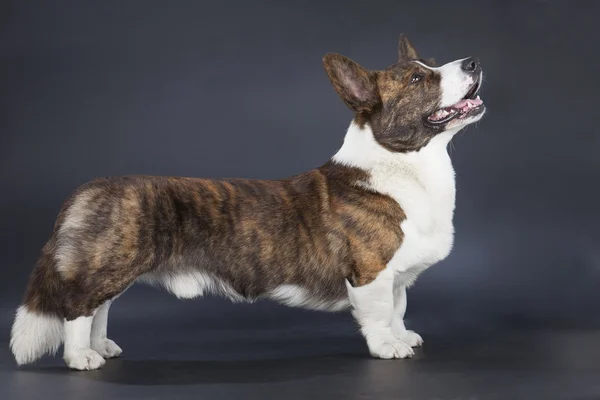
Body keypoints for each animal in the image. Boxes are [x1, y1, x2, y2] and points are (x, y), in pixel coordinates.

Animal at [11, 36, 486, 370]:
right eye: (417, 80)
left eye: (430, 65)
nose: (473, 62)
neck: (405, 163)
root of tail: (90, 188)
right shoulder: (371, 273)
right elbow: (379, 315)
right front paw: (388, 347)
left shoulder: (399, 277)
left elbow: (399, 310)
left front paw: (404, 337)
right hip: (112, 263)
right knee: (79, 307)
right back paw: (81, 358)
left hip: (115, 263)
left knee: (100, 308)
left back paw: (101, 346)